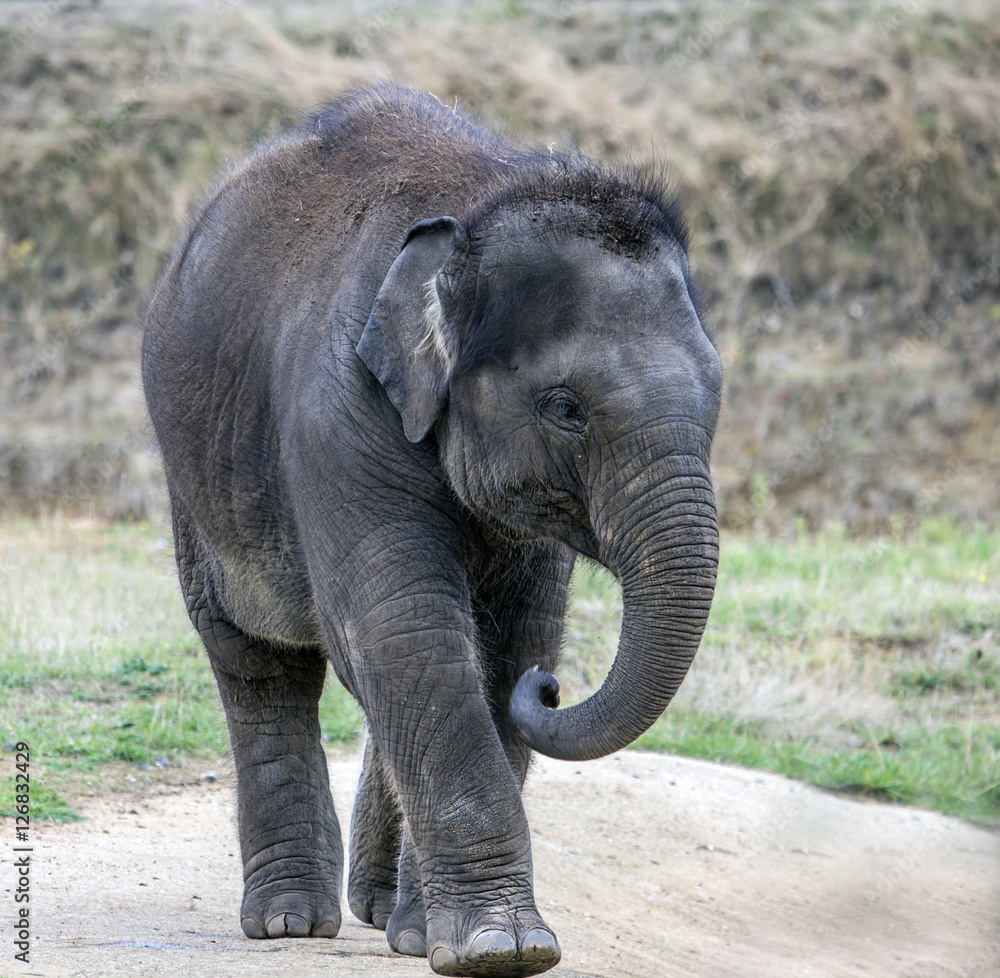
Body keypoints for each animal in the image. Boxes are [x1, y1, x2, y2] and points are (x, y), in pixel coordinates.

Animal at [142, 83, 721, 978]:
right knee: (256, 660)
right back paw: (288, 923)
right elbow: (404, 626)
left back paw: (385, 917)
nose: (551, 688)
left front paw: (454, 941)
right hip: (192, 476)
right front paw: (502, 949)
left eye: (717, 395)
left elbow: (507, 637)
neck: (484, 202)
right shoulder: (337, 410)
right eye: (565, 408)